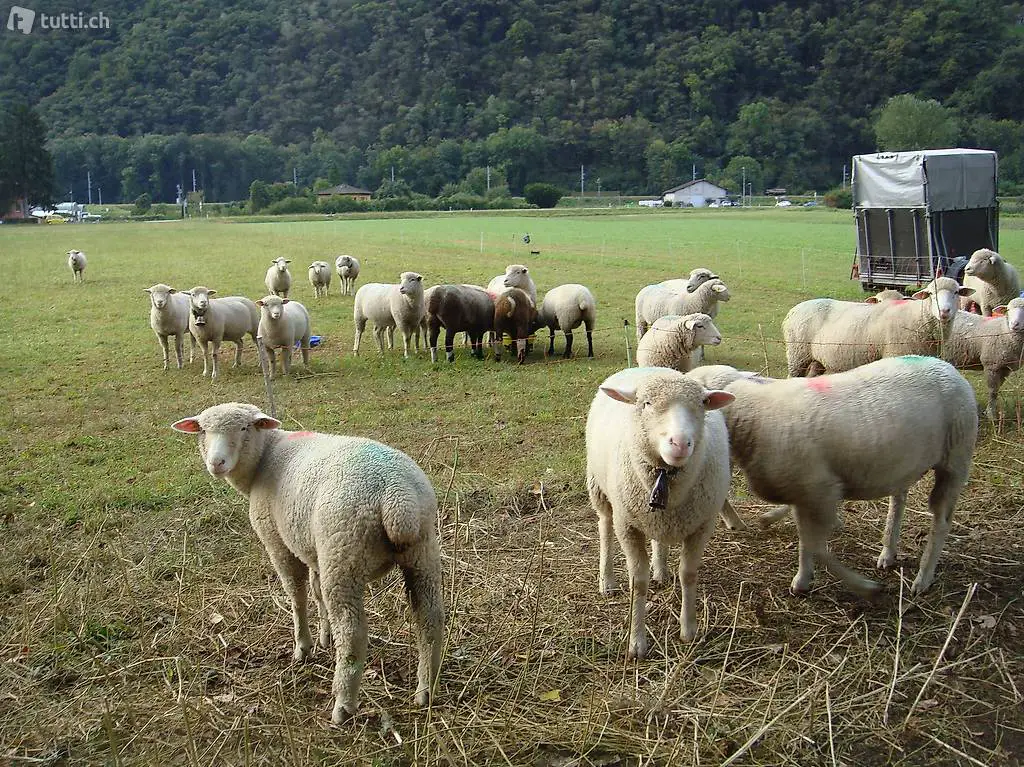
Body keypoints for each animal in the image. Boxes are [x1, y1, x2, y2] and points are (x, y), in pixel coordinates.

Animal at [171, 402, 444, 723]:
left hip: (343, 555)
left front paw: (303, 646)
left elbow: (297, 595)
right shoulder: (311, 548)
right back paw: (426, 689)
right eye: (202, 431)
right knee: (430, 619)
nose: (217, 463)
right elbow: (315, 591)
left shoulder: (278, 543)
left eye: (244, 428)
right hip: (421, 552)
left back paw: (343, 705)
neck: (265, 455)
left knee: (352, 632)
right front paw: (325, 636)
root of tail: (397, 497)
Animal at [586, 366, 734, 659]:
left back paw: (661, 570)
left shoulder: (702, 525)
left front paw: (689, 630)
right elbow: (638, 582)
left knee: (658, 538)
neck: (666, 476)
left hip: (655, 516)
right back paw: (606, 581)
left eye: (702, 404)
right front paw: (636, 643)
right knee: (605, 527)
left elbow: (688, 574)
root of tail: (643, 367)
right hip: (601, 490)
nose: (680, 443)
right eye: (646, 403)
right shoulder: (627, 526)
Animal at [687, 355, 978, 596]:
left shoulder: (820, 490)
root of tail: (948, 367)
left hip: (955, 460)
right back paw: (888, 552)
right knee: (898, 502)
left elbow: (814, 543)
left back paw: (923, 578)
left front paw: (861, 586)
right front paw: (803, 577)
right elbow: (806, 539)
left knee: (941, 521)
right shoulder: (804, 491)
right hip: (904, 462)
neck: (753, 415)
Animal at [783, 276, 974, 377]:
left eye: (956, 292)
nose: (944, 311)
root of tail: (792, 310)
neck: (918, 318)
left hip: (815, 359)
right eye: (931, 294)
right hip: (797, 355)